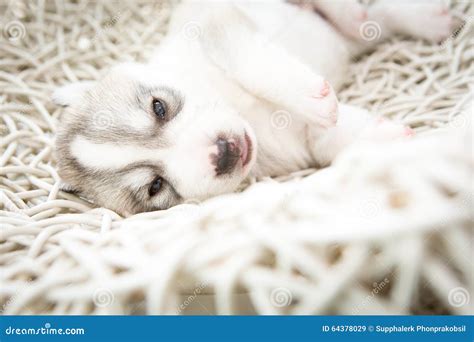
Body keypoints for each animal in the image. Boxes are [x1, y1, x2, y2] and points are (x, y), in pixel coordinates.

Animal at [53, 0, 454, 216]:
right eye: (155, 186)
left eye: (159, 108)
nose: (225, 152)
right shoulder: (306, 142)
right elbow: (336, 140)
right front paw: (386, 140)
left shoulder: (215, 26)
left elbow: (251, 63)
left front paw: (312, 98)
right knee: (379, 21)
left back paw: (356, 16)